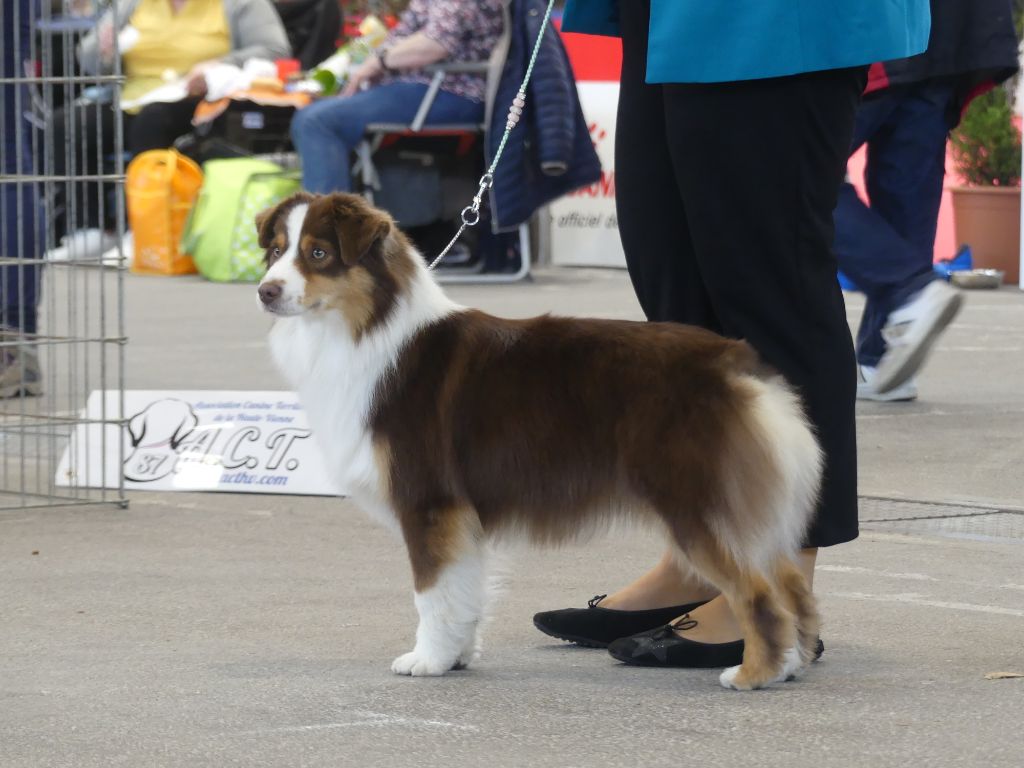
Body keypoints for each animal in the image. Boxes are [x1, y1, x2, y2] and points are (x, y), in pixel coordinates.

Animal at [253, 192, 823, 692]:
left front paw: (427, 660)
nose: (265, 291)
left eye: (319, 254)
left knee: (759, 593)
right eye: (276, 251)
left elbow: (431, 593)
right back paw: (793, 663)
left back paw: (755, 673)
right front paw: (456, 655)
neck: (365, 327)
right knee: (791, 583)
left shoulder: (429, 501)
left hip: (694, 500)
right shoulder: (461, 515)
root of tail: (735, 365)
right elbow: (462, 590)